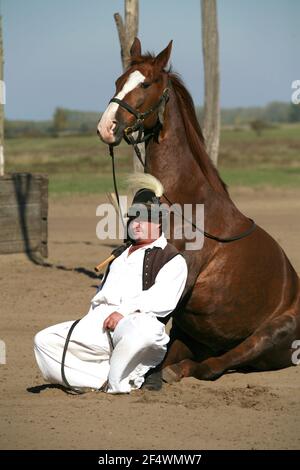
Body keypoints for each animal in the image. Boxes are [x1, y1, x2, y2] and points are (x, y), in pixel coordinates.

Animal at [97, 36, 298, 382]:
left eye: (146, 83)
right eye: (119, 81)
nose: (106, 126)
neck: (181, 203)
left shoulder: (177, 282)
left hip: (273, 333)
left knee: (213, 366)